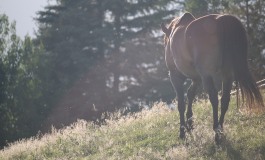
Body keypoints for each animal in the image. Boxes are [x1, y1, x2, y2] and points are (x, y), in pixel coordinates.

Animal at [161, 13, 262, 144]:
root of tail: (220, 20)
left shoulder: (175, 76)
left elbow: (181, 103)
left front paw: (182, 131)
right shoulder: (197, 78)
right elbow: (190, 94)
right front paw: (190, 123)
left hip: (207, 75)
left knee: (214, 98)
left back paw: (216, 133)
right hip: (227, 74)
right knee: (224, 99)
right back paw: (220, 128)